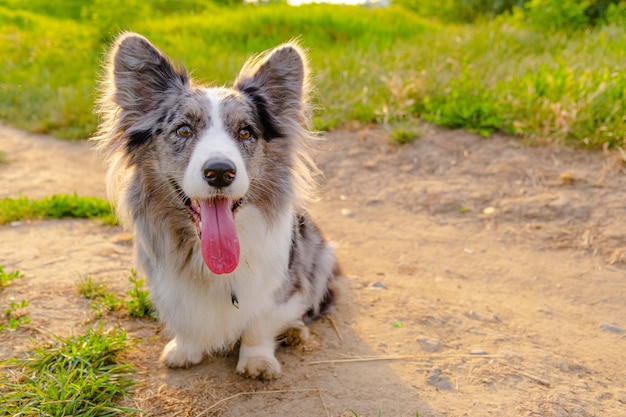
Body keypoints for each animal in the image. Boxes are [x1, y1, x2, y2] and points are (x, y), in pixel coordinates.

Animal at [94, 30, 336, 378]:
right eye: (183, 129)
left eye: (246, 132)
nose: (220, 172)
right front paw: (186, 349)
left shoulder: (280, 285)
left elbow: (260, 323)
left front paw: (257, 361)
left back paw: (294, 331)